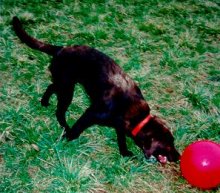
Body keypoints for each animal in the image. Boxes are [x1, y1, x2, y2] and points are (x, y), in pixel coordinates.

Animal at [12, 16, 180, 164]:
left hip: (64, 83)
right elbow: (77, 129)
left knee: (51, 87)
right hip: (67, 89)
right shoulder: (91, 114)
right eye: (169, 143)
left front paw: (125, 153)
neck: (137, 117)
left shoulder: (119, 126)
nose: (178, 157)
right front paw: (67, 138)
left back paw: (44, 101)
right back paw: (64, 126)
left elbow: (122, 140)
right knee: (59, 111)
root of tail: (61, 48)